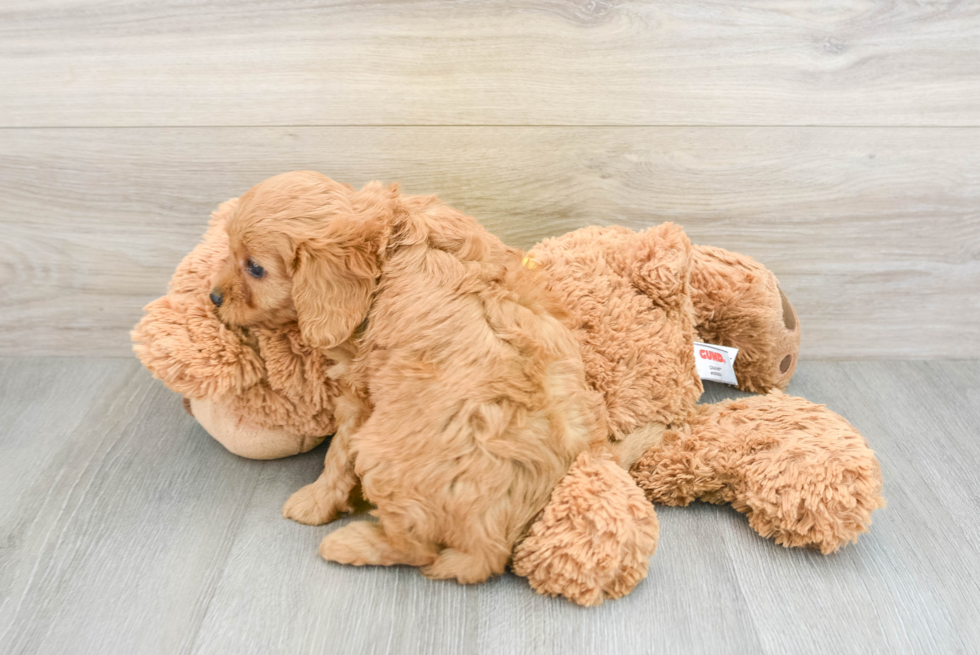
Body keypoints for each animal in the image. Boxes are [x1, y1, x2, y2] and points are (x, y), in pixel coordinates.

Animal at [212, 170, 608, 584]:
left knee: (418, 549)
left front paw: (315, 501)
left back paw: (348, 543)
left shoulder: (359, 390)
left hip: (381, 456)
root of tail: (491, 549)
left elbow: (337, 459)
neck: (388, 238)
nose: (213, 297)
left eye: (255, 268)